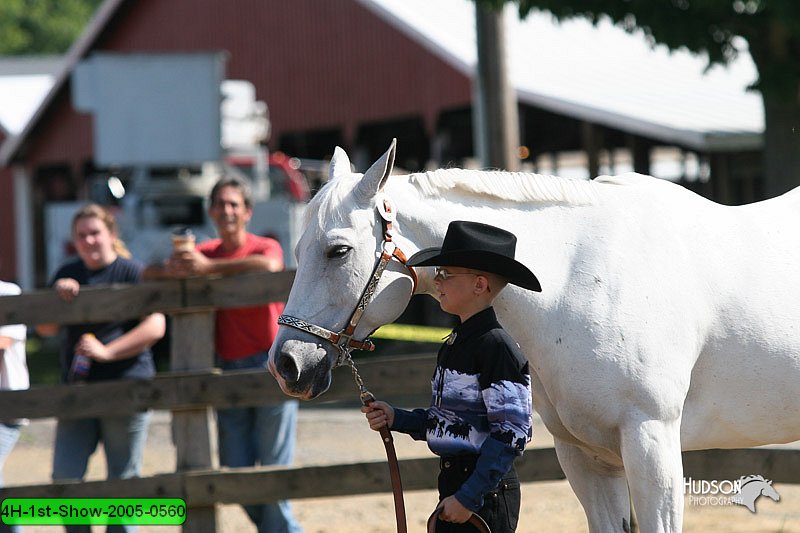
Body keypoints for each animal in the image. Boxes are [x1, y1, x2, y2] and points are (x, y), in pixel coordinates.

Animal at [270, 139, 800, 528]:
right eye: (296, 247)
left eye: (338, 250)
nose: (286, 364)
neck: (578, 277)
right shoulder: (585, 457)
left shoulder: (653, 444)